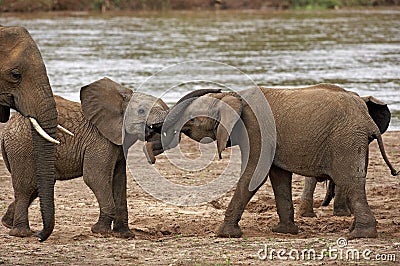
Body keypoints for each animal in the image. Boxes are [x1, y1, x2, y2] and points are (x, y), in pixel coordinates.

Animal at [0, 78, 168, 238]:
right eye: (142, 110)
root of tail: (8, 127)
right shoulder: (100, 140)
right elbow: (95, 177)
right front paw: (100, 231)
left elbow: (119, 179)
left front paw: (124, 235)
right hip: (22, 146)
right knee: (27, 186)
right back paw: (21, 233)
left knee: (37, 185)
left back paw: (7, 222)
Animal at [159, 83, 396, 239]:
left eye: (192, 119)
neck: (234, 97)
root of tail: (367, 119)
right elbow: (278, 177)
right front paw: (284, 231)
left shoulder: (255, 129)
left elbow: (254, 175)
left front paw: (223, 234)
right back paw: (354, 230)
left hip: (345, 140)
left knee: (349, 181)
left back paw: (360, 235)